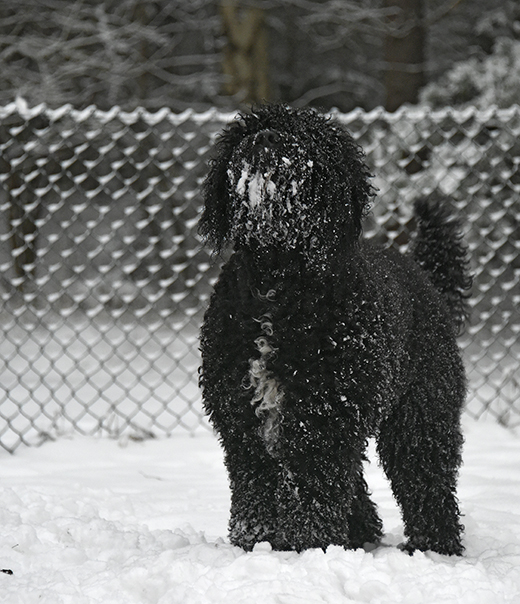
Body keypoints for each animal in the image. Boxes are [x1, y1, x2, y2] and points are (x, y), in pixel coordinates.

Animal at [199, 104, 472, 556]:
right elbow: (257, 492)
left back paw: (434, 547)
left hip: (421, 414)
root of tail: (425, 278)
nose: (265, 139)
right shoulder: (244, 423)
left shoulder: (322, 420)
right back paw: (361, 533)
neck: (279, 281)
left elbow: (312, 494)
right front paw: (254, 546)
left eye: (306, 135)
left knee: (426, 480)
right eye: (246, 131)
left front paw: (305, 550)